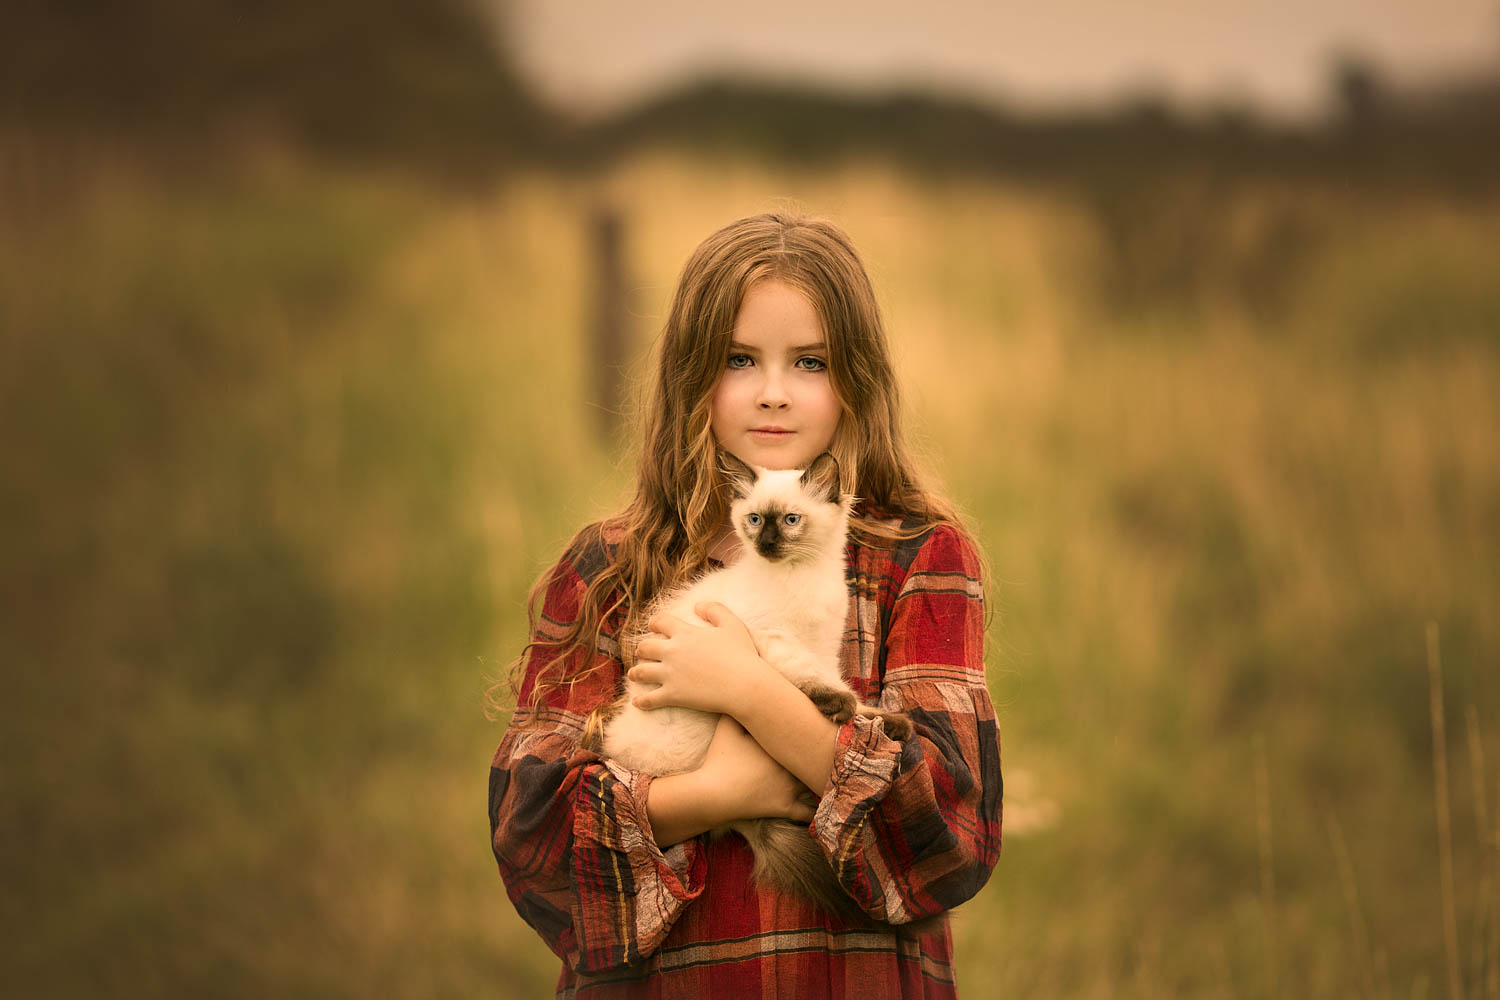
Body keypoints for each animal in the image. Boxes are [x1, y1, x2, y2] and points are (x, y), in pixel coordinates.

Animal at [600, 449, 912, 917]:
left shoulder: (823, 646)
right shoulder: (777, 641)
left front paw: (882, 721)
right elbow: (813, 679)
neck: (802, 576)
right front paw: (840, 707)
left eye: (790, 520)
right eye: (754, 520)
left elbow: (845, 690)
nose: (766, 545)